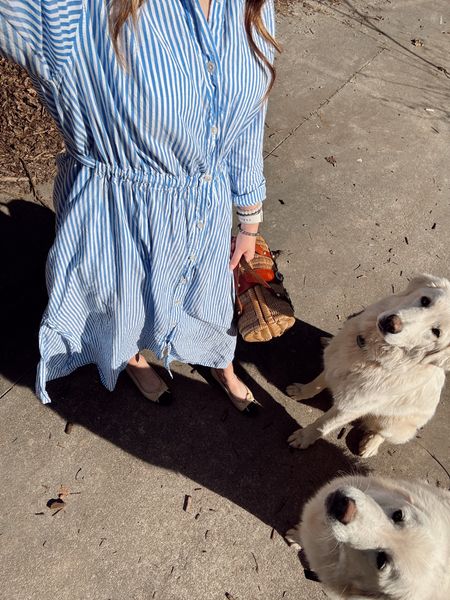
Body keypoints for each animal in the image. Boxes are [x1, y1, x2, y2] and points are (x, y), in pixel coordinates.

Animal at [286, 274, 448, 458]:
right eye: (425, 301)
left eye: (436, 332)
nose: (392, 323)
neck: (368, 352)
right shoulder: (335, 363)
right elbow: (317, 383)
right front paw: (301, 391)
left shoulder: (350, 407)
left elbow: (323, 424)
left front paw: (304, 437)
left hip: (392, 426)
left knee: (382, 434)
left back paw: (370, 445)